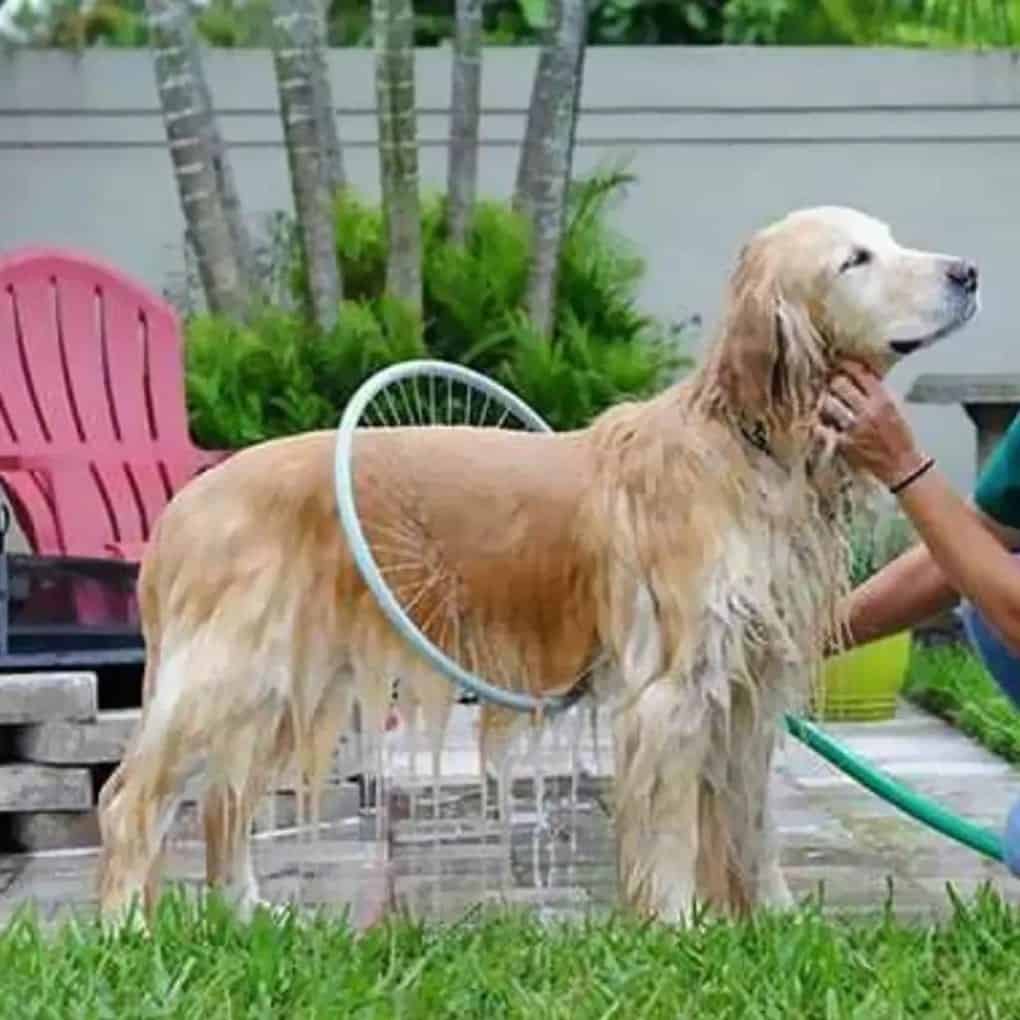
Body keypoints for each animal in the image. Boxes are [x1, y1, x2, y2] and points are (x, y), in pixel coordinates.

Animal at [97, 207, 979, 926]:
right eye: (855, 259)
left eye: (890, 238)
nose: (968, 272)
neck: (750, 443)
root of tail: (185, 503)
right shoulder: (672, 690)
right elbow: (670, 831)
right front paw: (679, 927)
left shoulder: (750, 685)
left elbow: (752, 822)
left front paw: (776, 920)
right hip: (231, 675)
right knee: (132, 799)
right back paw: (126, 928)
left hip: (282, 689)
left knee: (223, 805)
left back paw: (248, 914)